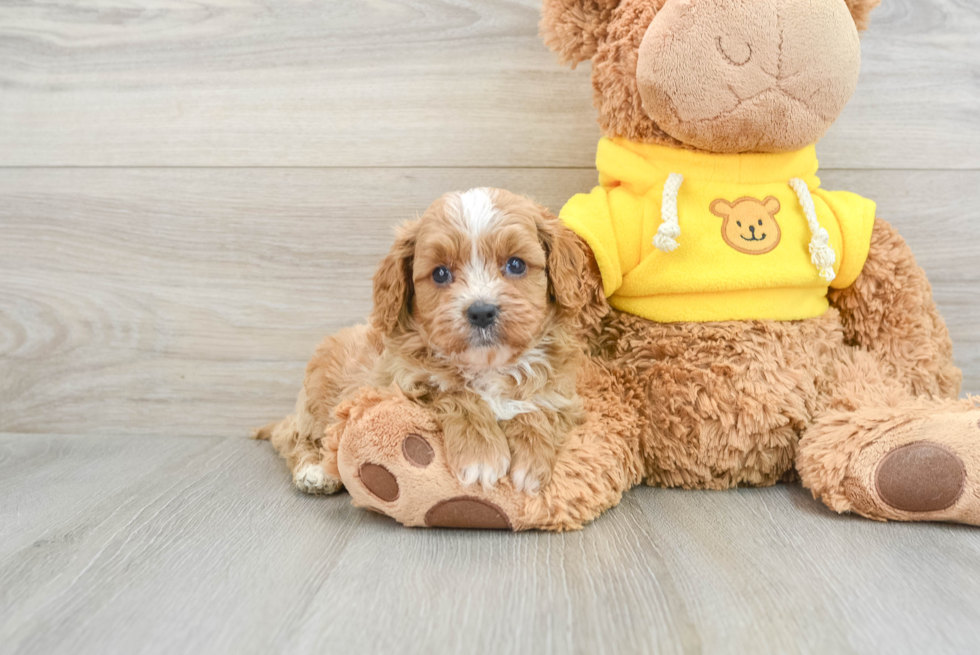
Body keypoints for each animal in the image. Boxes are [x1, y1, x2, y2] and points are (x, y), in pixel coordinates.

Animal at [256, 190, 600, 498]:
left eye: (516, 265)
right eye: (440, 273)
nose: (481, 311)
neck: (488, 365)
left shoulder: (563, 396)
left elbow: (538, 407)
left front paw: (531, 458)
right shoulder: (402, 383)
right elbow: (455, 393)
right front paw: (481, 455)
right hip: (317, 400)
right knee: (292, 436)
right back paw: (315, 472)